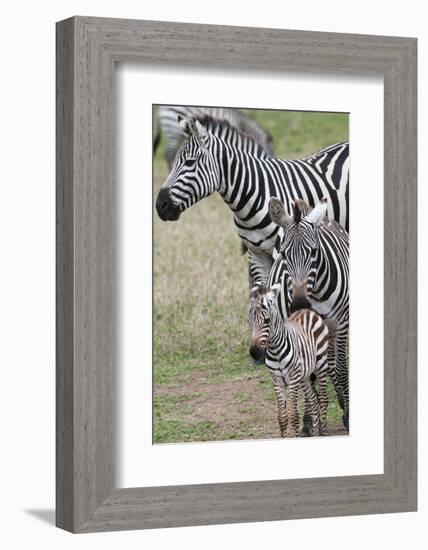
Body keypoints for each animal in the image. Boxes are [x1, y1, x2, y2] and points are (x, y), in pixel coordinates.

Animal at [249, 284, 330, 440]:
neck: (275, 350)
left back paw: (324, 433)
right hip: (304, 376)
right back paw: (315, 434)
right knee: (313, 401)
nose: (254, 352)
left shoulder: (292, 379)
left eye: (267, 321)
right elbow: (282, 417)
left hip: (321, 365)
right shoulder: (277, 380)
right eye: (249, 322)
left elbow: (293, 415)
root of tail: (306, 310)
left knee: (323, 400)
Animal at [270, 198, 350, 432]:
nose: (298, 303)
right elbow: (309, 372)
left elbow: (340, 368)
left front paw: (348, 415)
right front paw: (308, 421)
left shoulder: (341, 323)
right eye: (284, 254)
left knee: (332, 365)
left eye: (314, 252)